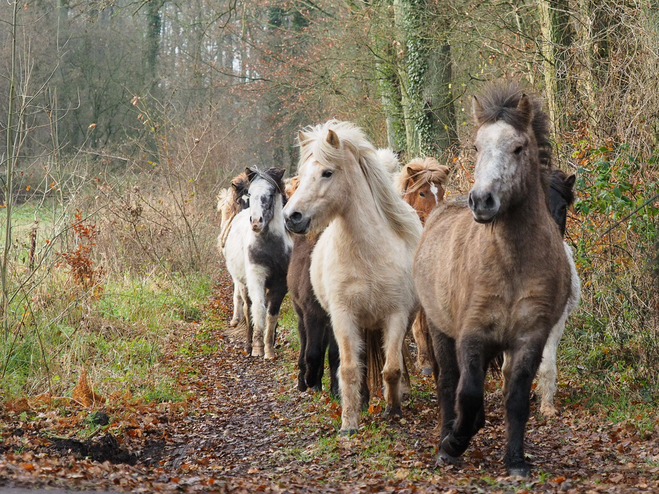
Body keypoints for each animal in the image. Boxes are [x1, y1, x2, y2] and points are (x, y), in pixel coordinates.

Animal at [284, 120, 422, 436]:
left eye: (327, 172)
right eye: (302, 175)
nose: (291, 217)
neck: (366, 254)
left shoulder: (396, 315)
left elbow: (392, 367)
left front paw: (393, 410)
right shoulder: (343, 316)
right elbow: (347, 368)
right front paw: (349, 423)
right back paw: (364, 399)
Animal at [416, 83, 576, 476]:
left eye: (518, 147)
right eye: (476, 147)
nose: (482, 201)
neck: (510, 264)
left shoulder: (530, 338)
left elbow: (516, 399)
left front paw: (516, 461)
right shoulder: (472, 334)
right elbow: (469, 392)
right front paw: (453, 444)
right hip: (439, 329)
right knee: (449, 383)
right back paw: (448, 439)